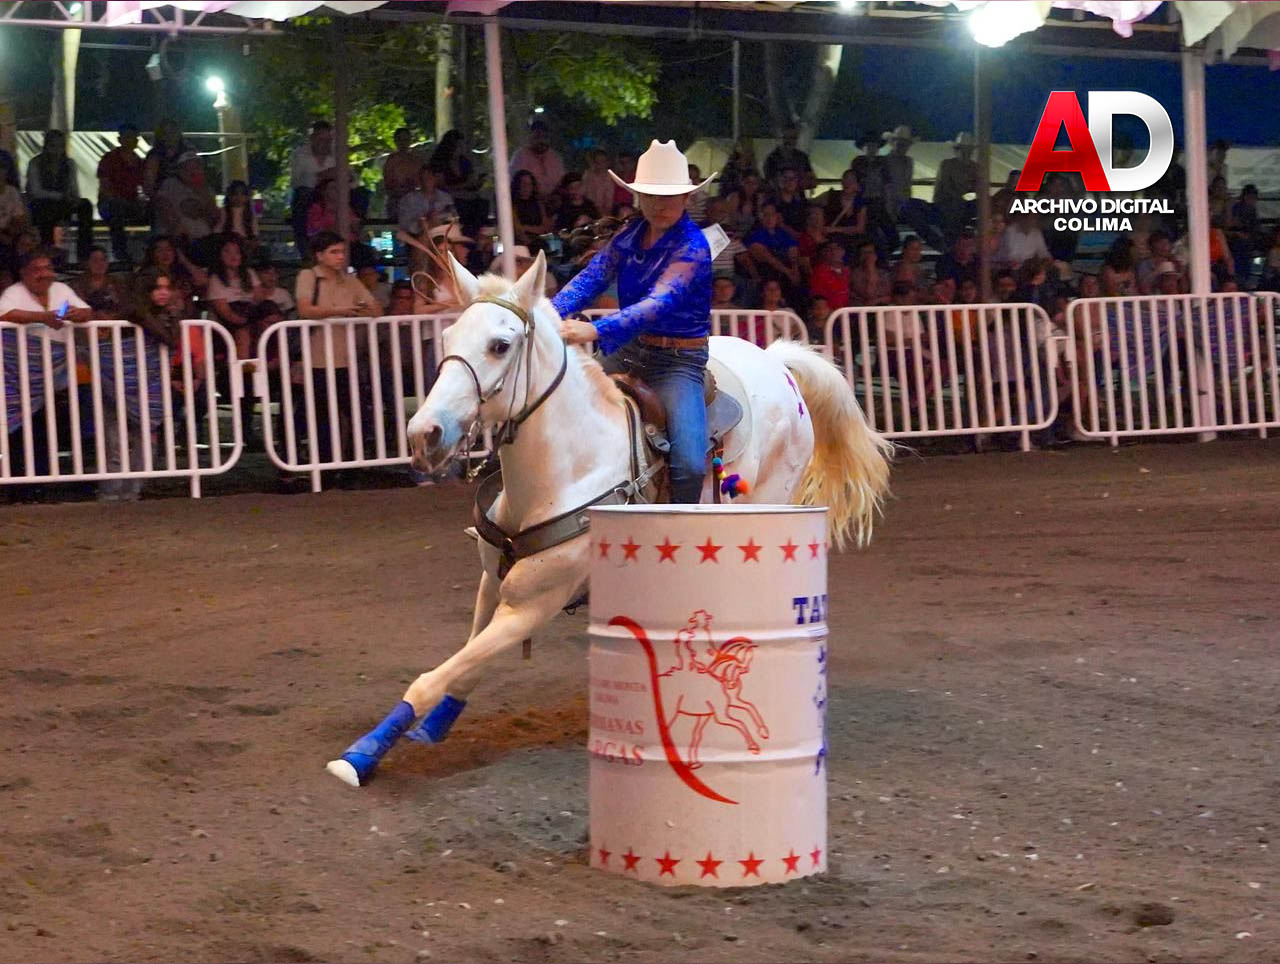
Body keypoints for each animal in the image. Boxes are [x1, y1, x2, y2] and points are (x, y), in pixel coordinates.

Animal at [326, 250, 892, 787]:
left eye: (500, 346)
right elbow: (463, 669)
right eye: (447, 336)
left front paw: (360, 756)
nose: (424, 434)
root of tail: (776, 361)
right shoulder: (492, 584)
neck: (566, 471)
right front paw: (432, 727)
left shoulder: (532, 605)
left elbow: (431, 677)